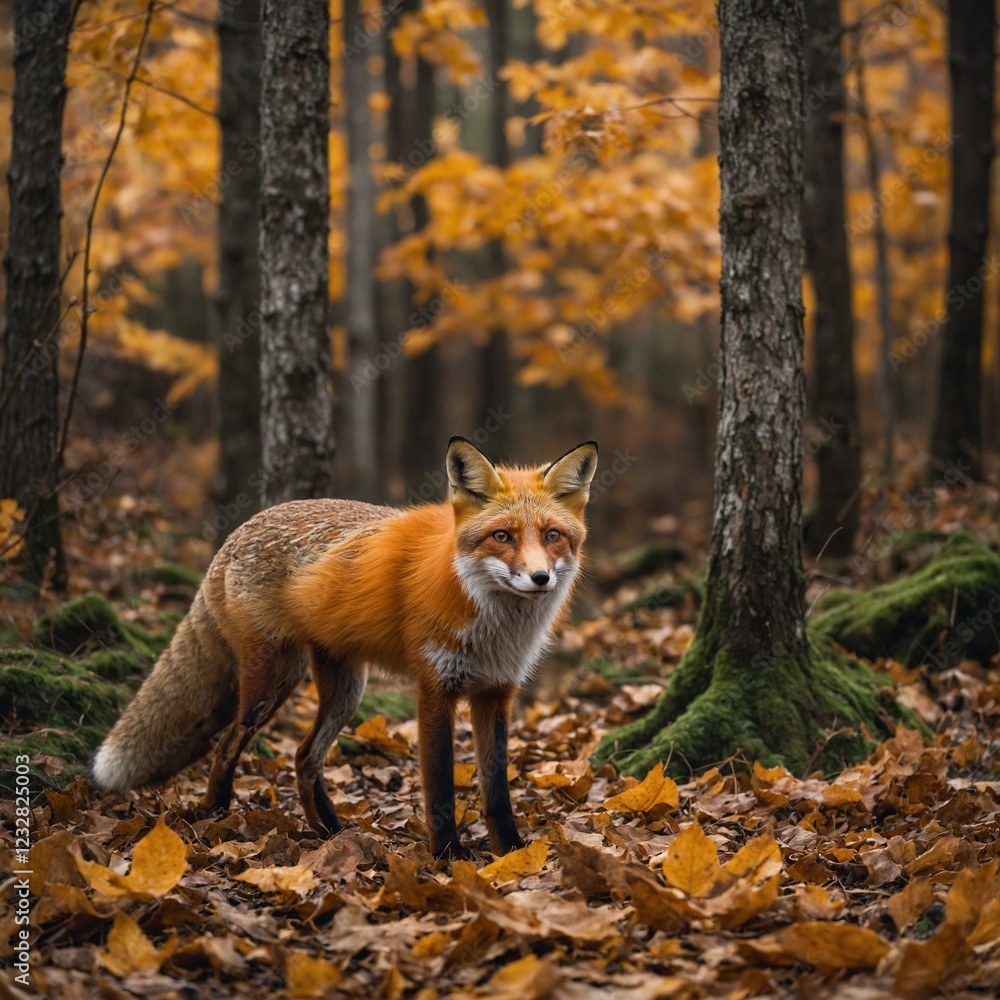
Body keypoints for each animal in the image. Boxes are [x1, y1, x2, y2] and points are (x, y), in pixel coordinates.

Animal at [92, 436, 598, 858]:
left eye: (552, 536)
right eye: (502, 536)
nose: (540, 578)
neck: (495, 629)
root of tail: (234, 535)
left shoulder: (496, 692)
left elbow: (497, 788)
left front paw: (512, 852)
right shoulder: (435, 688)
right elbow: (439, 786)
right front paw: (449, 857)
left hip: (344, 692)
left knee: (304, 757)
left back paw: (331, 832)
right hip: (271, 686)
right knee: (228, 745)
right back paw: (217, 819)